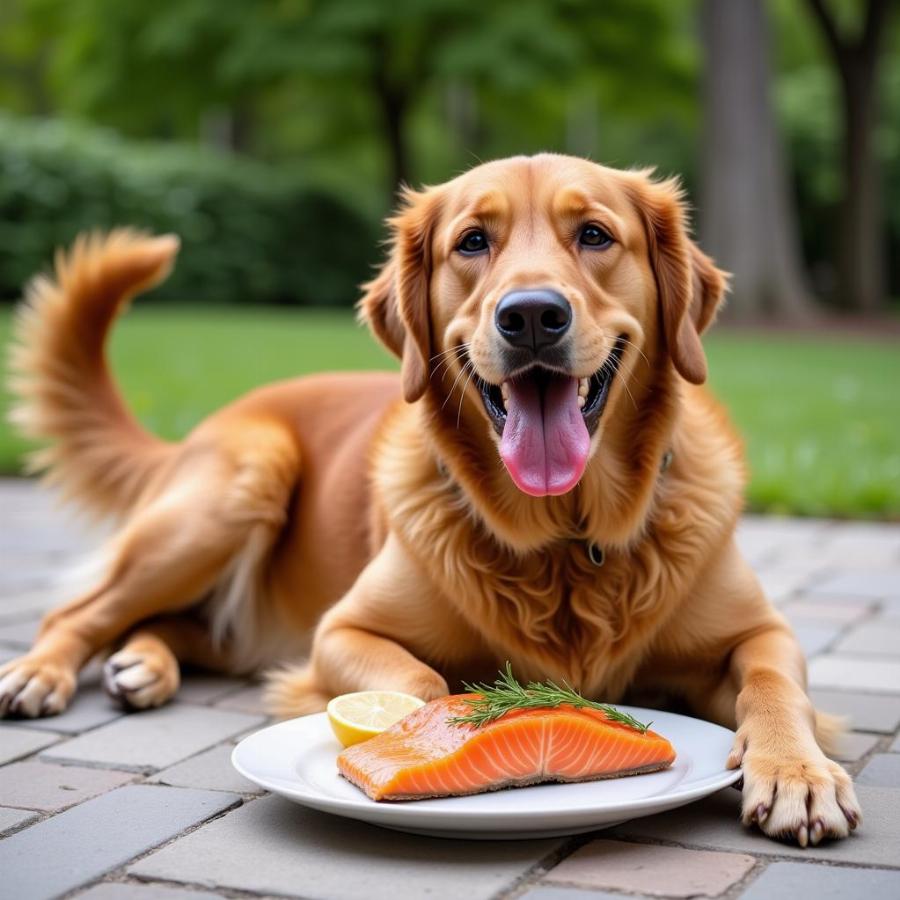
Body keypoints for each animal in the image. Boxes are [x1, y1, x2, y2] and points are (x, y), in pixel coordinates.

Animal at [0, 155, 856, 844]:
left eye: (594, 235)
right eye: (472, 242)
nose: (532, 315)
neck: (564, 539)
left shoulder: (759, 632)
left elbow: (774, 684)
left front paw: (797, 772)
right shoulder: (342, 630)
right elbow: (421, 685)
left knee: (161, 624)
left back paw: (141, 665)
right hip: (240, 482)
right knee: (78, 612)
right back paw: (39, 674)